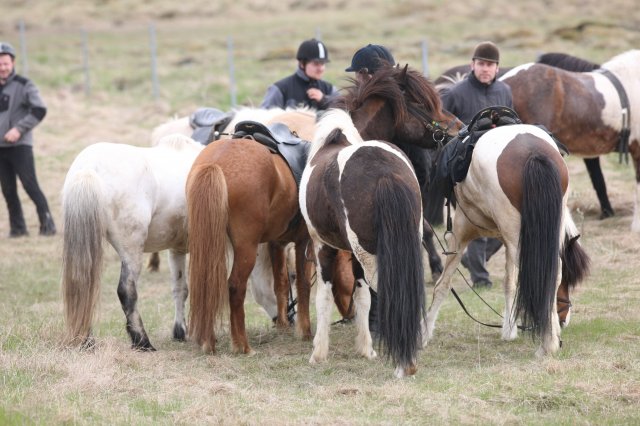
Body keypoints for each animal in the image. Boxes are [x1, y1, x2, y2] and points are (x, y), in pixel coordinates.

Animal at [420, 125, 592, 356]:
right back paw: (550, 339)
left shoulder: (462, 232)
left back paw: (547, 342)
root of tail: (534, 152)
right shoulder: (501, 238)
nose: (564, 320)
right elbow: (509, 281)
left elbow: (444, 282)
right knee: (550, 271)